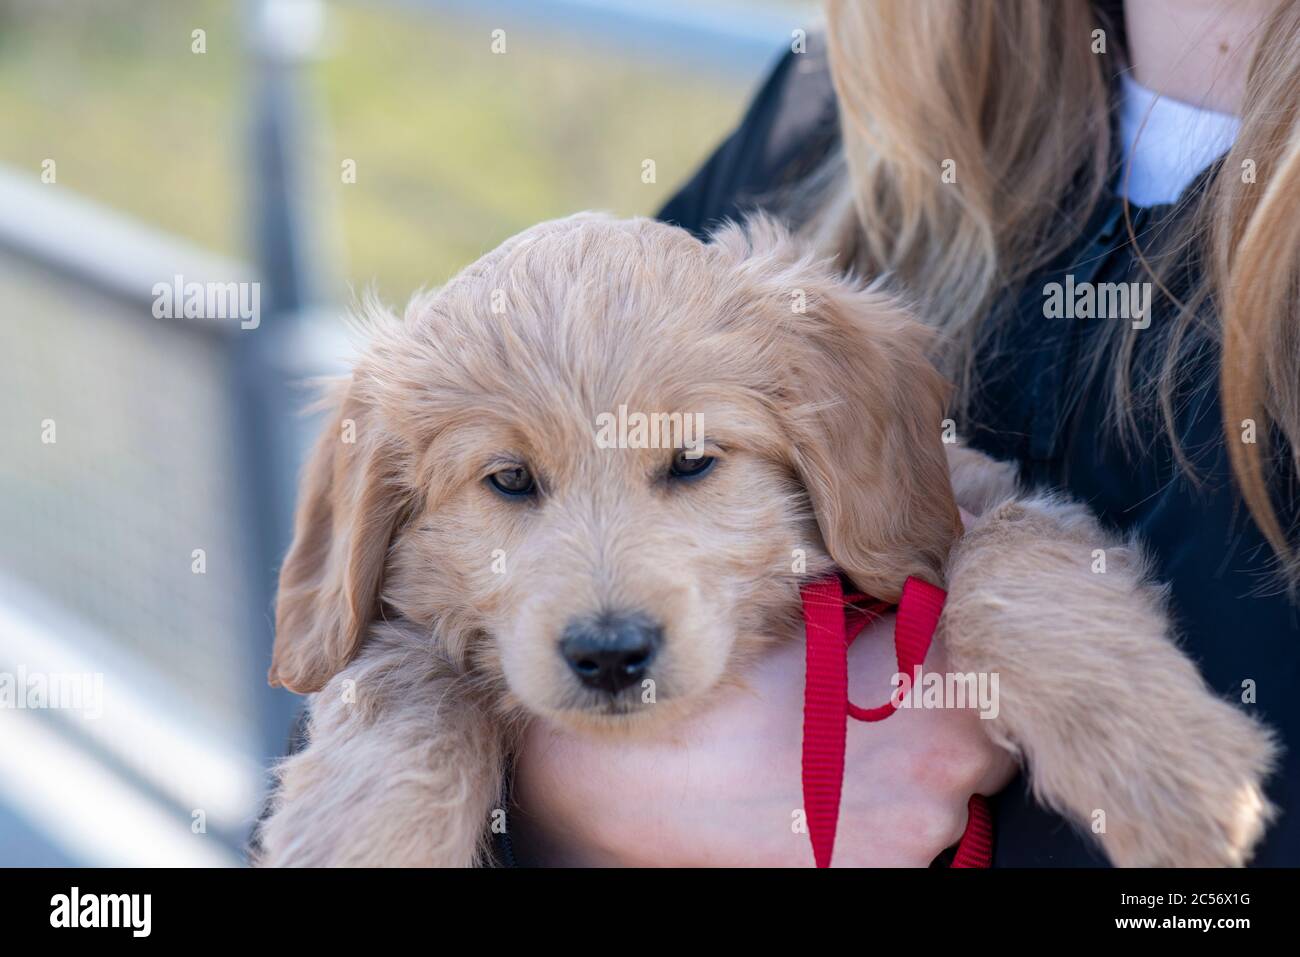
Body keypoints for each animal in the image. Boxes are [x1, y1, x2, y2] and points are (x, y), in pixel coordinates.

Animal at [256, 214, 1279, 868]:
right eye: (508, 480)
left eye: (693, 461)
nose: (610, 654)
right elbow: (404, 682)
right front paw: (363, 837)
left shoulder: (984, 502)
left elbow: (1010, 562)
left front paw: (1159, 766)